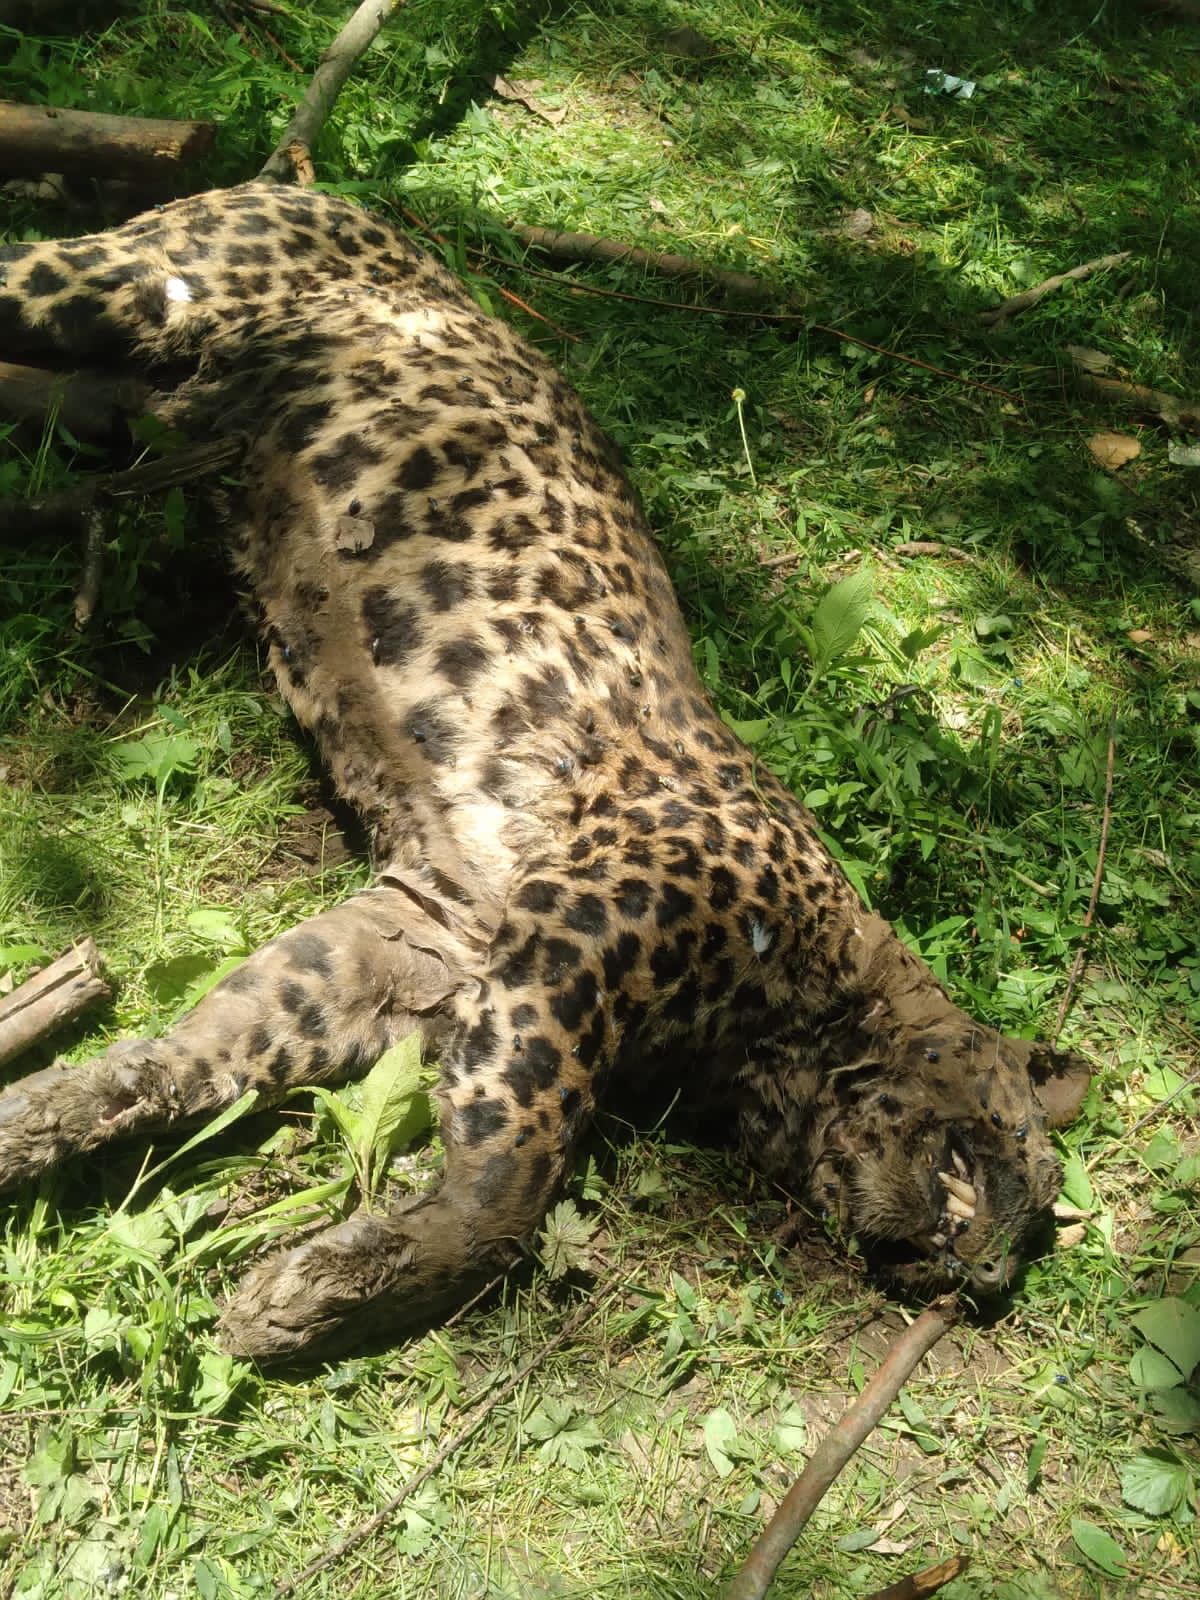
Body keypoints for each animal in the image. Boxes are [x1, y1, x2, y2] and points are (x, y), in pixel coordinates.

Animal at [0, 184, 1089, 1362]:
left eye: (1029, 1235)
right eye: (1000, 1168)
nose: (978, 1277)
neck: (796, 1021)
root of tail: (311, 183)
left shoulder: (414, 945)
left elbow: (217, 1041)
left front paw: (50, 1116)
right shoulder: (569, 942)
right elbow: (514, 1175)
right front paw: (322, 1294)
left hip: (126, 388)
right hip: (130, 285)